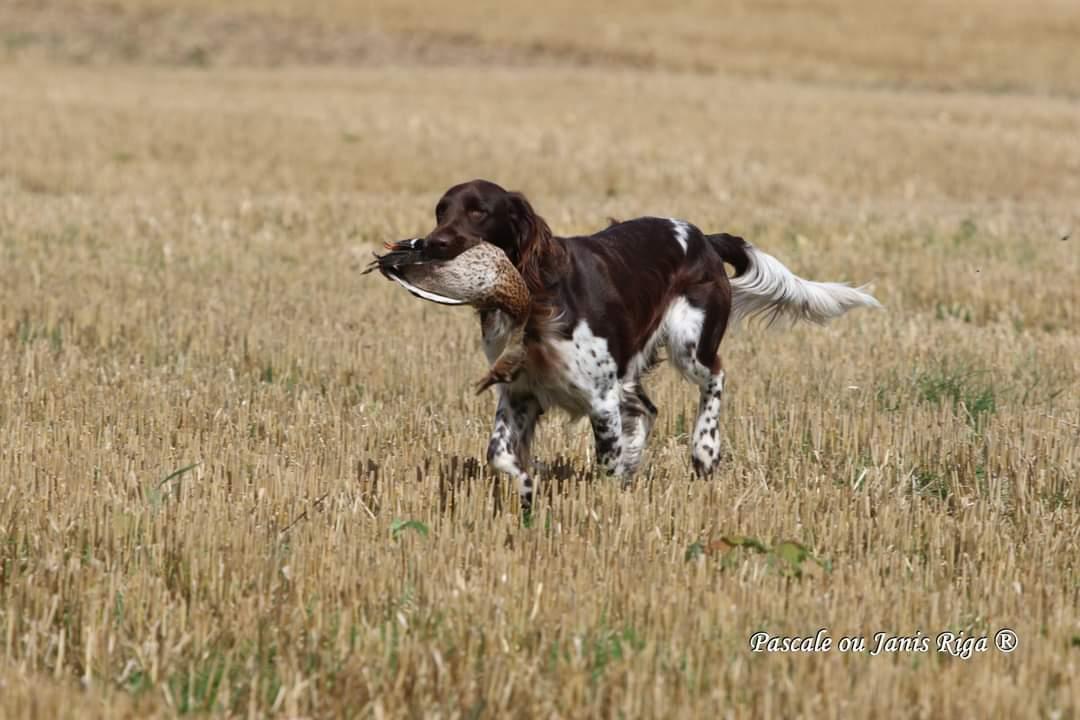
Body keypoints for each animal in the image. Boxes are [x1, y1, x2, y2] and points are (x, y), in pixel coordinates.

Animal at [416, 177, 881, 509]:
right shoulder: (520, 393)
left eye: (479, 211)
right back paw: (638, 455)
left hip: (688, 341)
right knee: (647, 408)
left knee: (715, 376)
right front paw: (529, 488)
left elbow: (605, 462)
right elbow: (498, 452)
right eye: (441, 210)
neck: (535, 292)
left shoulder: (600, 396)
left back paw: (704, 449)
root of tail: (705, 238)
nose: (432, 243)